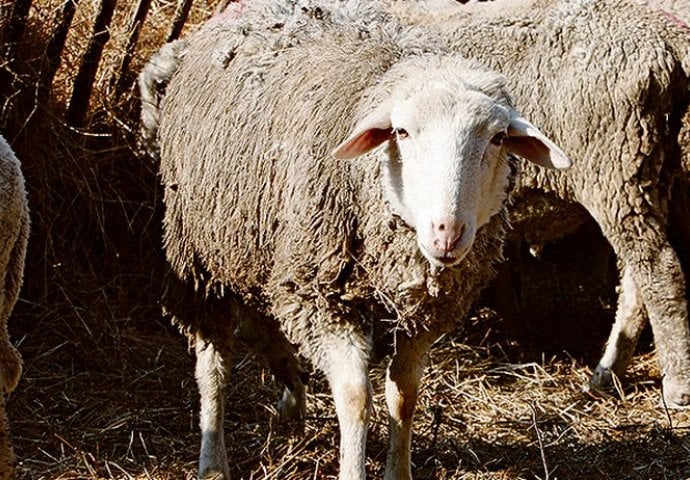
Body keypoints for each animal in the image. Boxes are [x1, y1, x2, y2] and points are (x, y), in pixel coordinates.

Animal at [140, 4, 568, 480]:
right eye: (402, 132)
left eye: (497, 137)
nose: (447, 232)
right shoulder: (320, 296)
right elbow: (356, 398)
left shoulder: (425, 314)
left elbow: (405, 394)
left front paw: (399, 470)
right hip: (199, 256)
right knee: (214, 362)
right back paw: (213, 458)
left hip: (257, 246)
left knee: (263, 324)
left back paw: (291, 396)